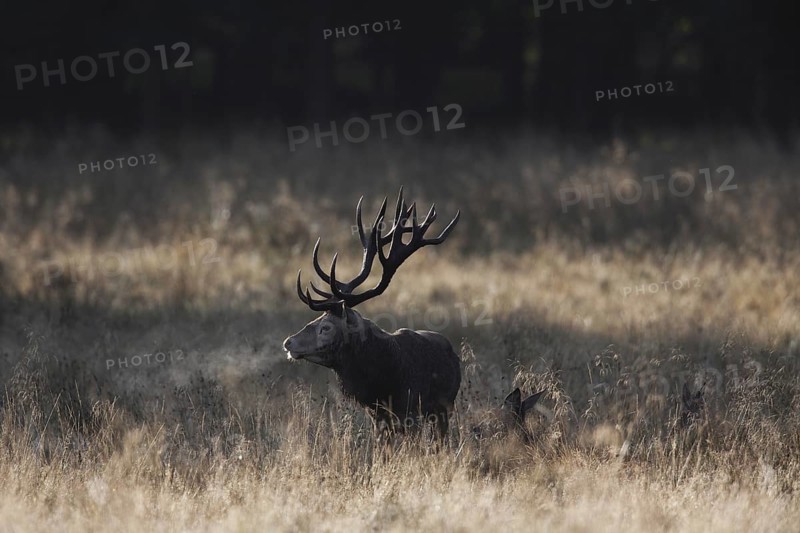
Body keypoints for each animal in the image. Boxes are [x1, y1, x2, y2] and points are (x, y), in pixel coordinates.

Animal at [282, 188, 462, 440]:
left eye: (326, 327)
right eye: (314, 319)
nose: (288, 342)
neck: (382, 383)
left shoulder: (411, 410)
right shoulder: (376, 417)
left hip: (445, 407)